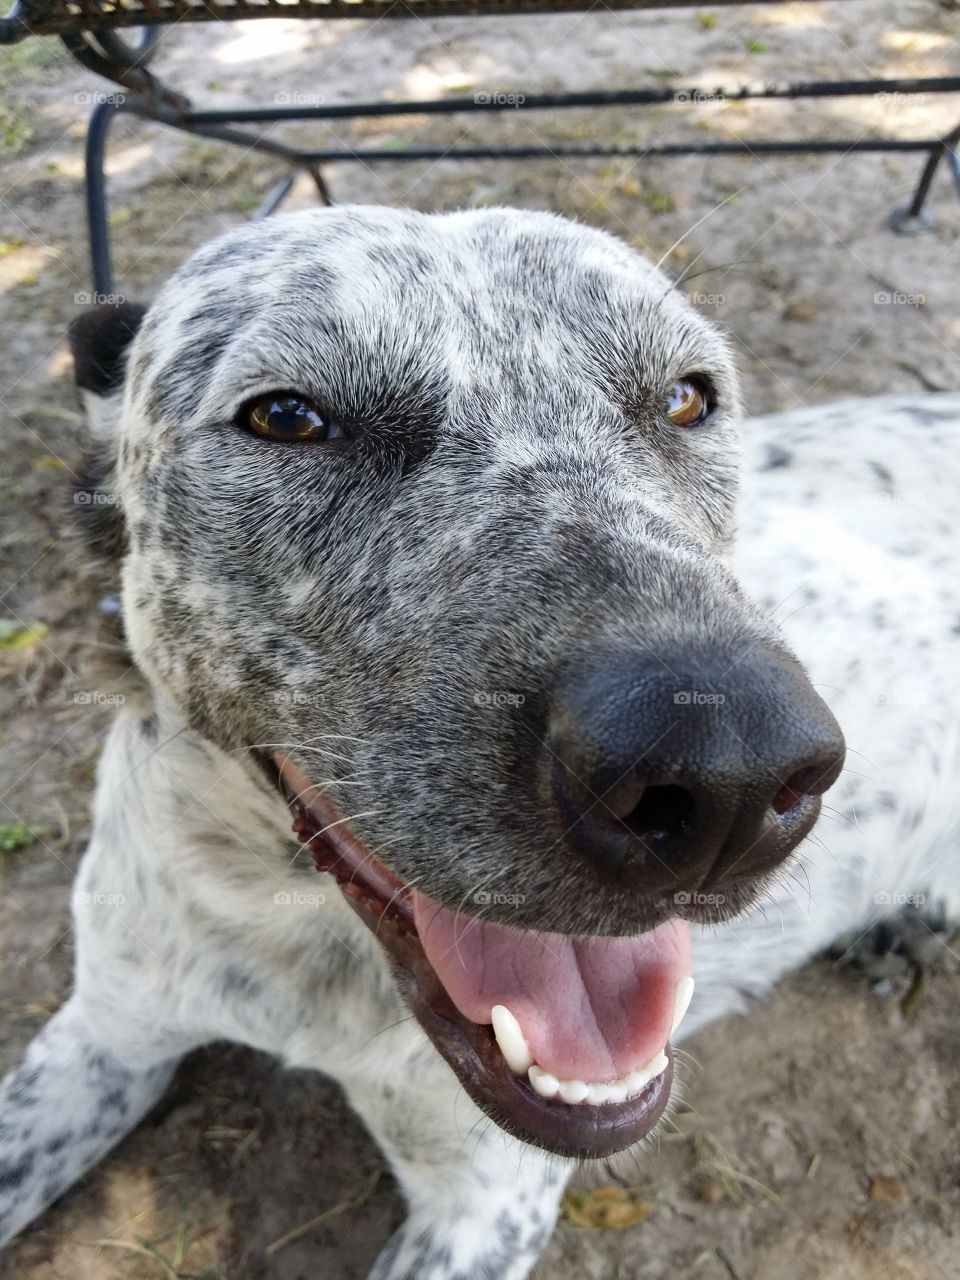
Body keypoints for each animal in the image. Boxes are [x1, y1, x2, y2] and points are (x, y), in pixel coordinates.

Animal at [0, 204, 957, 1274]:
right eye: (287, 416)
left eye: (686, 398)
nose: (730, 781)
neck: (301, 947)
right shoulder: (101, 1035)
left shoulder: (484, 1202)